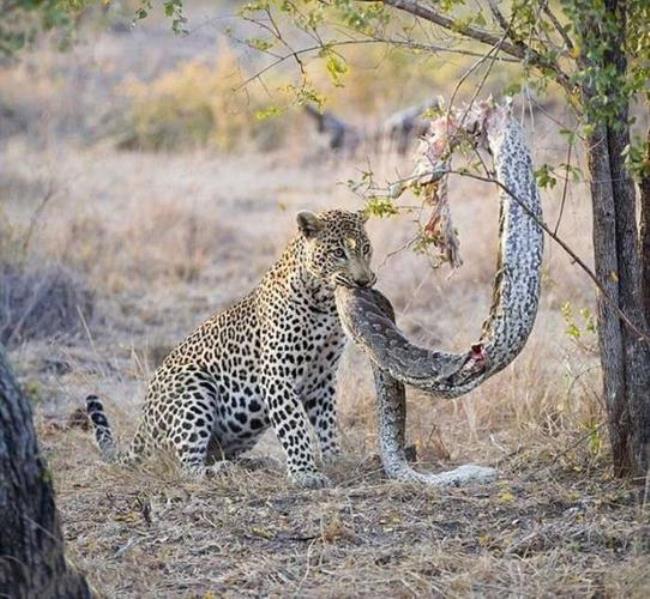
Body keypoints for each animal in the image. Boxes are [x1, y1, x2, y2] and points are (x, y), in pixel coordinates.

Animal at [86, 209, 374, 490]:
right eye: (338, 252)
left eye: (366, 248)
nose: (363, 281)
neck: (324, 302)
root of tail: (143, 423)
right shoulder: (278, 375)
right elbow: (294, 427)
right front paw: (305, 473)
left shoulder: (322, 377)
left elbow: (327, 423)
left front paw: (335, 459)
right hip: (194, 384)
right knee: (186, 467)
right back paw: (219, 471)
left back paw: (254, 463)